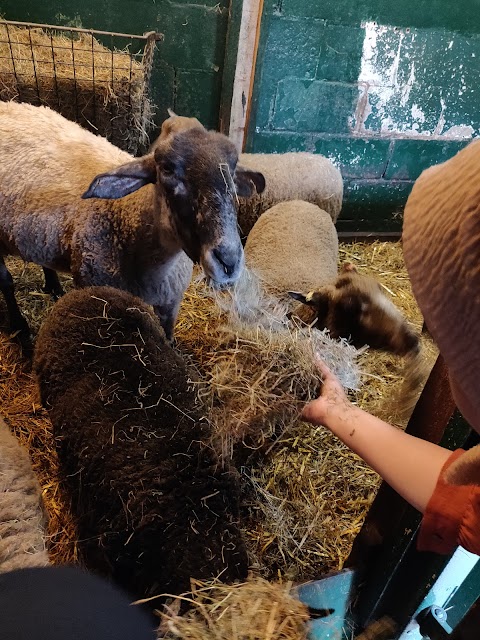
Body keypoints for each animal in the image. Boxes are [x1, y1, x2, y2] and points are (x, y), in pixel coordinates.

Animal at [0, 102, 264, 344]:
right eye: (167, 169)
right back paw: (20, 329)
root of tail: (9, 104)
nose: (228, 261)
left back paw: (54, 287)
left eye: (232, 172)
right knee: (6, 281)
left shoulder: (171, 304)